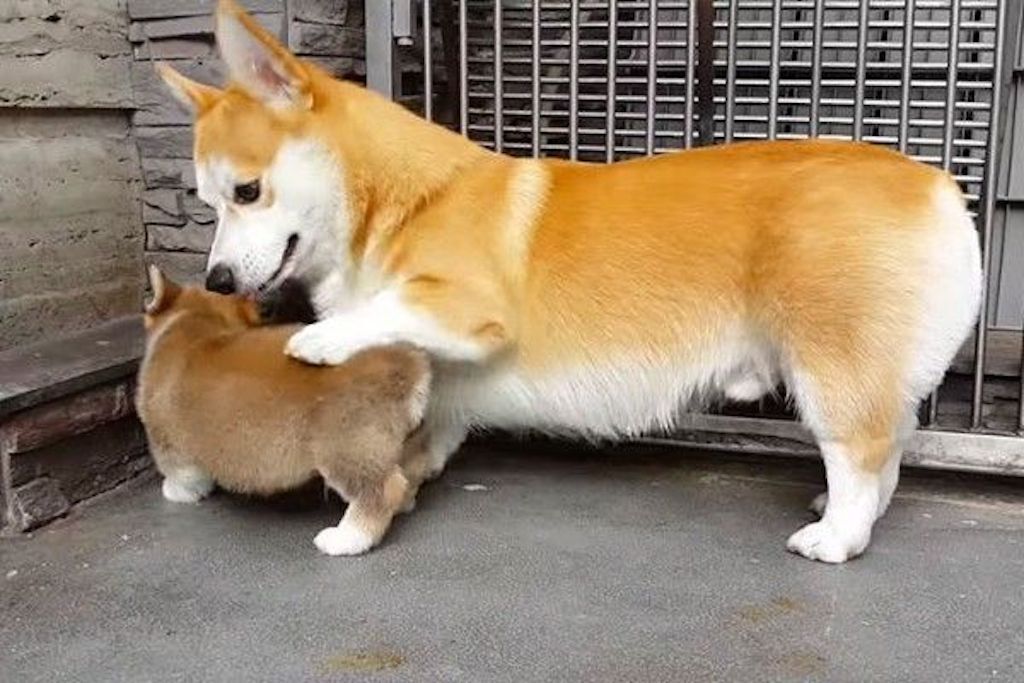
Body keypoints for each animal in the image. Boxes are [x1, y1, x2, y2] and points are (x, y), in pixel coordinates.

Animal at [135, 266, 432, 557]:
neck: (197, 321)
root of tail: (407, 365)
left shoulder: (168, 443)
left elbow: (182, 475)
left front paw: (175, 492)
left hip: (345, 451)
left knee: (382, 490)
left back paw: (345, 539)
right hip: (402, 444)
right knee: (409, 476)